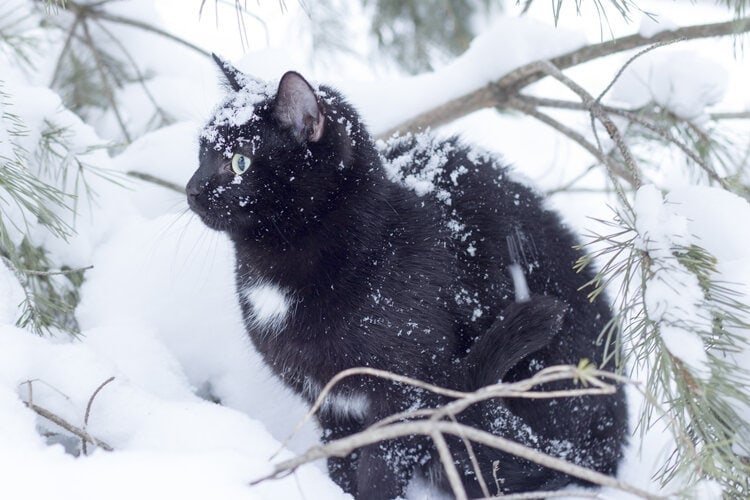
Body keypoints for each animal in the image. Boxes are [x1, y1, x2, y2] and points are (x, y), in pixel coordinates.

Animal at [188, 55, 628, 500]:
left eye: (239, 161)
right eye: (201, 153)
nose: (191, 189)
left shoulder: (407, 394)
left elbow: (381, 465)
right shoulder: (332, 406)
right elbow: (343, 460)